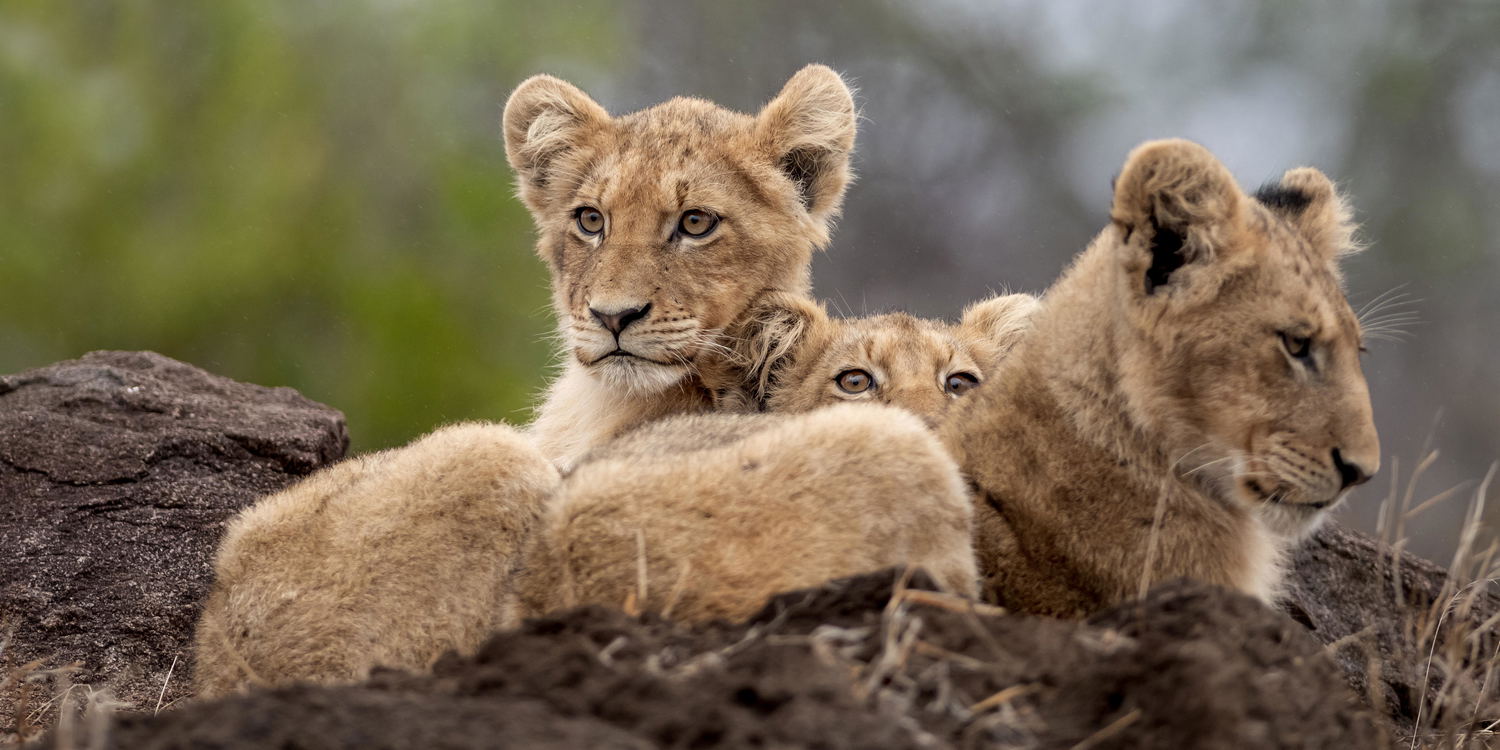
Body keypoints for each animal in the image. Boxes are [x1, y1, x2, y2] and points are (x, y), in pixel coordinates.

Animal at [192, 65, 858, 697]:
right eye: (590, 220)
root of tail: (211, 670)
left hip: (486, 463)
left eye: (696, 223)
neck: (597, 398)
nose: (613, 316)